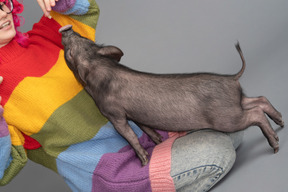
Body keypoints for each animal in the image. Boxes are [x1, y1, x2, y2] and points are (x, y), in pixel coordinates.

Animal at [58, 24, 284, 166]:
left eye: (69, 54)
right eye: (83, 38)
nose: (66, 29)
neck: (101, 70)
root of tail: (231, 78)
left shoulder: (114, 114)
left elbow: (130, 136)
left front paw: (144, 162)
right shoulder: (136, 115)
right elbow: (147, 130)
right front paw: (159, 143)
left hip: (226, 118)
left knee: (255, 113)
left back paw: (275, 146)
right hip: (236, 103)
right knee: (260, 100)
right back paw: (281, 123)